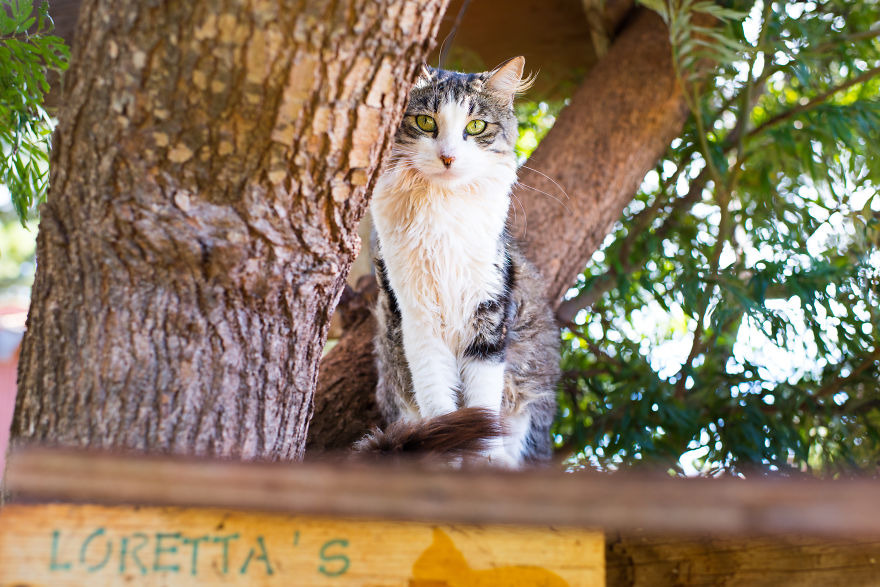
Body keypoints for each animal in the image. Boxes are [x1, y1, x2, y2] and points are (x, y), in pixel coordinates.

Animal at [356, 56, 556, 468]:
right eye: (425, 122)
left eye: (475, 126)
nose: (447, 157)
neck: (442, 208)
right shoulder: (416, 318)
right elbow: (439, 402)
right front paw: (448, 456)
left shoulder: (489, 312)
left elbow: (482, 403)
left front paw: (484, 462)